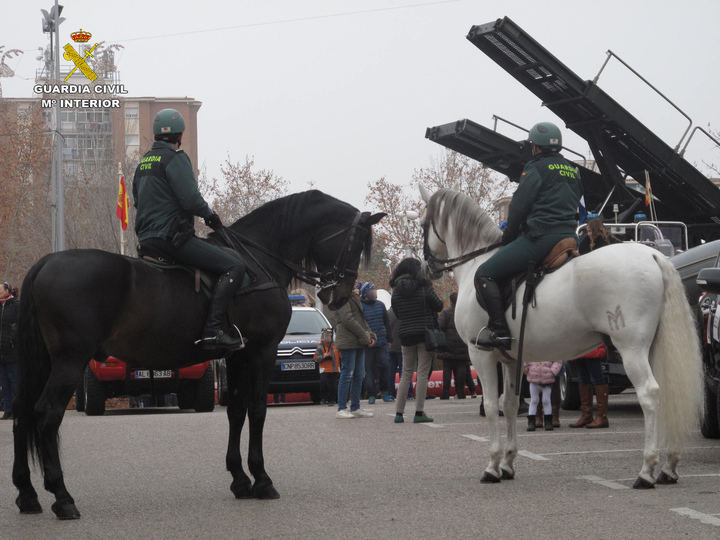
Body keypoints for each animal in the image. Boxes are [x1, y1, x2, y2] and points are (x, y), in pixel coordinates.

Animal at [420, 186, 700, 490]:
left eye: (423, 224)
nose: (427, 268)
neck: (476, 263)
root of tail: (652, 256)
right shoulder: (510, 360)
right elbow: (509, 404)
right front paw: (507, 463)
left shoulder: (480, 355)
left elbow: (493, 405)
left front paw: (492, 466)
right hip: (653, 348)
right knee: (667, 394)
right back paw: (669, 466)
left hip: (631, 349)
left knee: (649, 394)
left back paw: (646, 470)